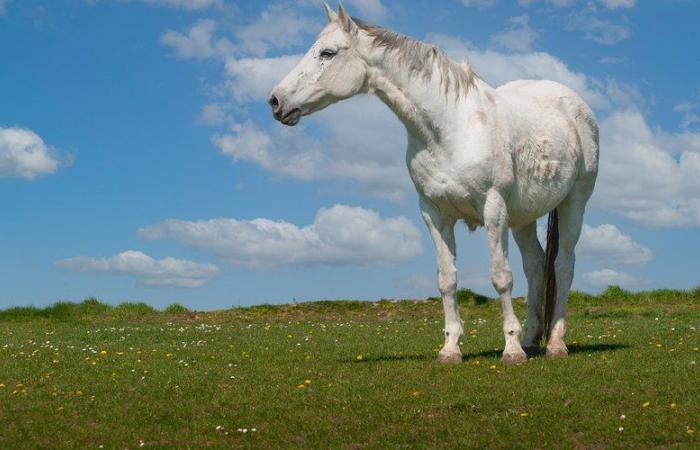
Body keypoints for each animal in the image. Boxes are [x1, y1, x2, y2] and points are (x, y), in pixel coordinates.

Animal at [270, 3, 600, 364]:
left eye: (327, 53)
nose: (276, 101)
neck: (449, 129)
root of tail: (573, 104)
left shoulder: (493, 209)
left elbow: (501, 276)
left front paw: (511, 350)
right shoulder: (434, 213)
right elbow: (447, 279)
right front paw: (450, 348)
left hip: (574, 203)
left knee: (563, 265)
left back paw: (554, 343)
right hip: (523, 218)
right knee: (537, 267)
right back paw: (531, 340)